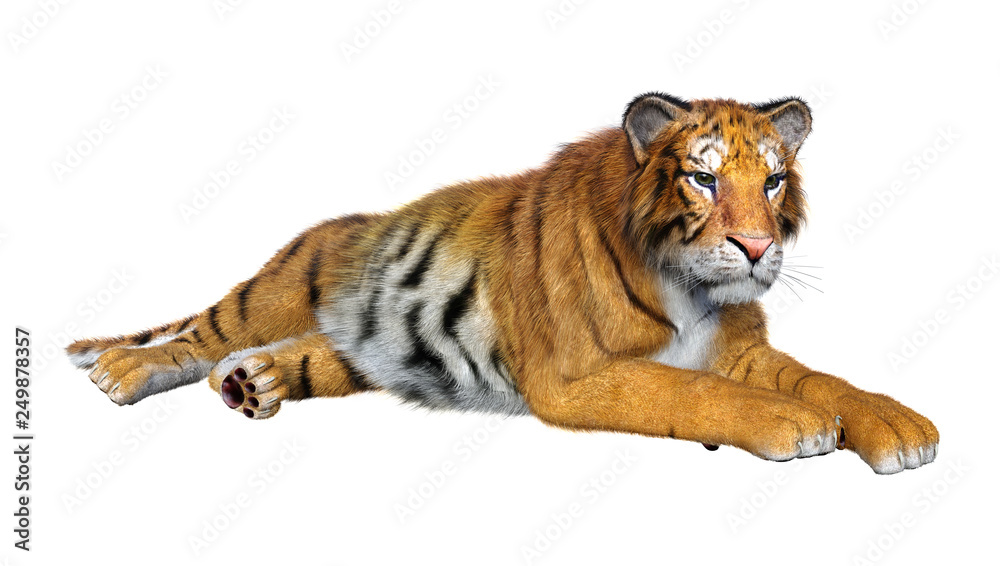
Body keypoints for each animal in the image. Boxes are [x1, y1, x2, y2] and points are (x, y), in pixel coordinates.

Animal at [67, 92, 938, 474]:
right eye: (702, 177)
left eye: (773, 180)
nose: (756, 248)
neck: (690, 288)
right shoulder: (574, 376)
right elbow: (694, 393)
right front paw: (798, 425)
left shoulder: (740, 348)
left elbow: (823, 379)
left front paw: (899, 428)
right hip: (275, 292)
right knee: (199, 333)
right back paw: (122, 371)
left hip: (360, 349)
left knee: (290, 356)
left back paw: (256, 383)